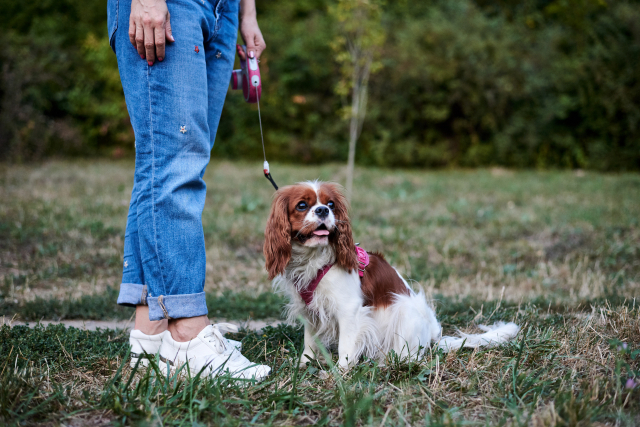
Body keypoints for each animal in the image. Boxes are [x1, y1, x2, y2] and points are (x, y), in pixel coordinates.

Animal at [262, 182, 516, 370]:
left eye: (331, 204)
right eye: (302, 205)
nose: (323, 210)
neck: (315, 259)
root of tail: (433, 335)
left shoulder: (349, 310)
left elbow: (346, 347)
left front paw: (341, 373)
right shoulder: (310, 309)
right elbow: (309, 342)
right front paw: (305, 364)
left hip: (404, 309)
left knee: (411, 355)